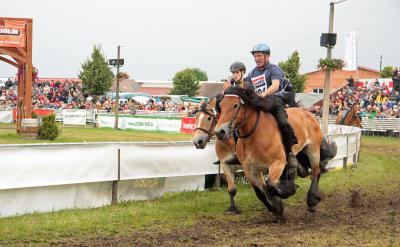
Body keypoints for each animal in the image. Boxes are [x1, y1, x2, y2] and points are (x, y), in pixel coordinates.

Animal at [214, 87, 336, 216]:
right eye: (220, 107)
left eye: (235, 105)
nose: (220, 131)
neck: (255, 135)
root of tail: (308, 113)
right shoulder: (249, 170)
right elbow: (260, 192)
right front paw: (276, 207)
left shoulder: (278, 163)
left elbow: (271, 186)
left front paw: (288, 192)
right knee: (304, 170)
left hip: (313, 150)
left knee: (316, 173)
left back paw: (312, 201)